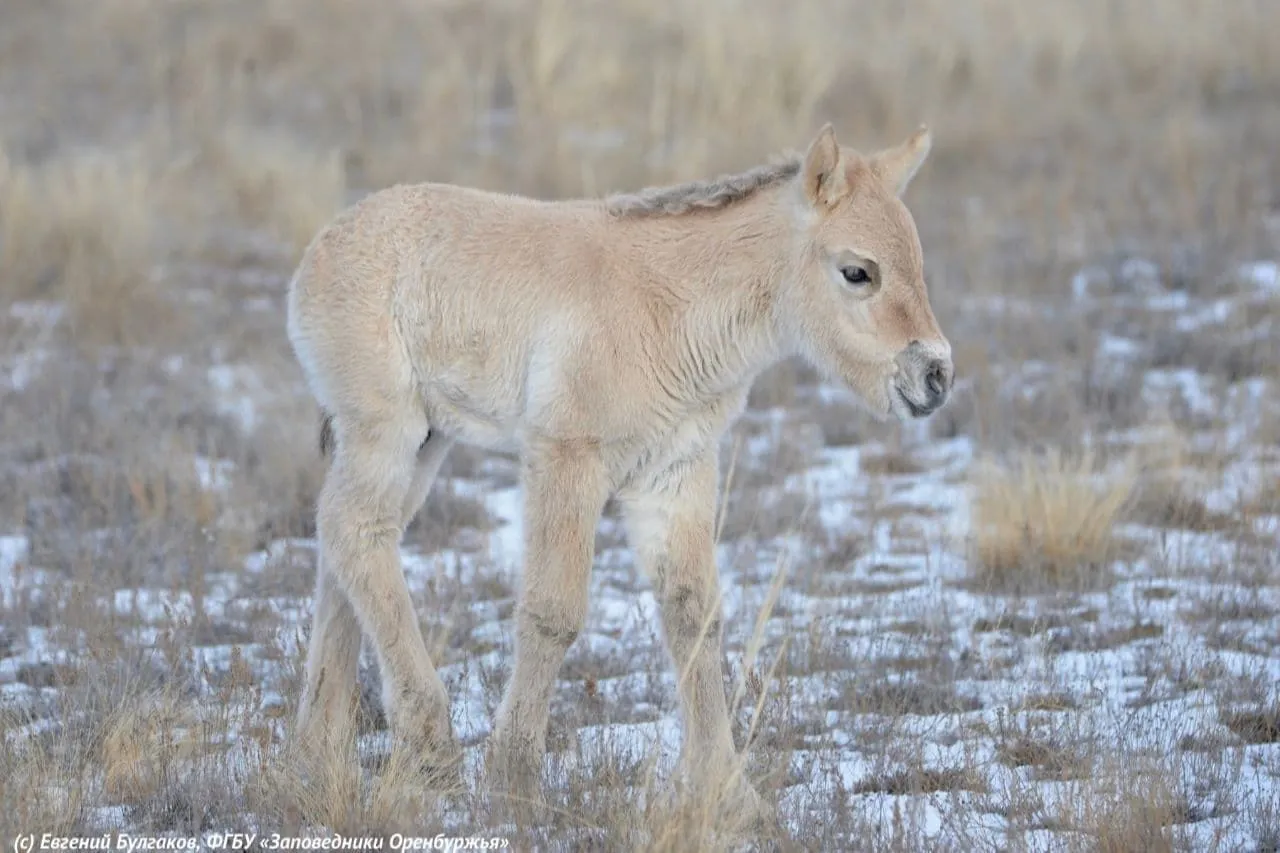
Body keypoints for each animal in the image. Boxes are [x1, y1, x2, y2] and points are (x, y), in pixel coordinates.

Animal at [288, 121, 952, 809]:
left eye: (916, 262)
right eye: (858, 272)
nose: (935, 377)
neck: (670, 305)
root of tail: (325, 244)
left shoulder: (676, 470)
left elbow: (695, 615)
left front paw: (725, 789)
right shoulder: (566, 456)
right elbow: (553, 613)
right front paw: (513, 773)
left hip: (427, 440)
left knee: (346, 541)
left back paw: (318, 751)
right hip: (385, 429)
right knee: (355, 530)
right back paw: (429, 746)